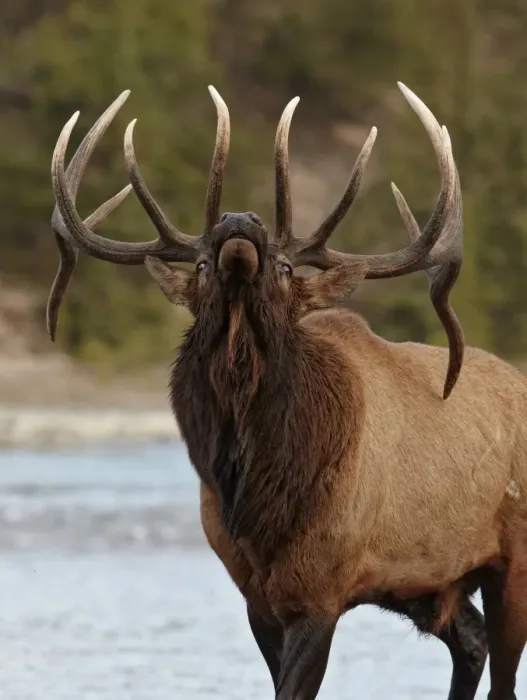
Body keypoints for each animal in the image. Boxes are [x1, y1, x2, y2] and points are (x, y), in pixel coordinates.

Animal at [46, 82, 527, 700]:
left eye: (285, 267)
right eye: (200, 265)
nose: (238, 221)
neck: (258, 499)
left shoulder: (320, 592)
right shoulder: (258, 600)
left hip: (511, 563)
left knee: (502, 671)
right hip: (428, 583)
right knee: (471, 641)